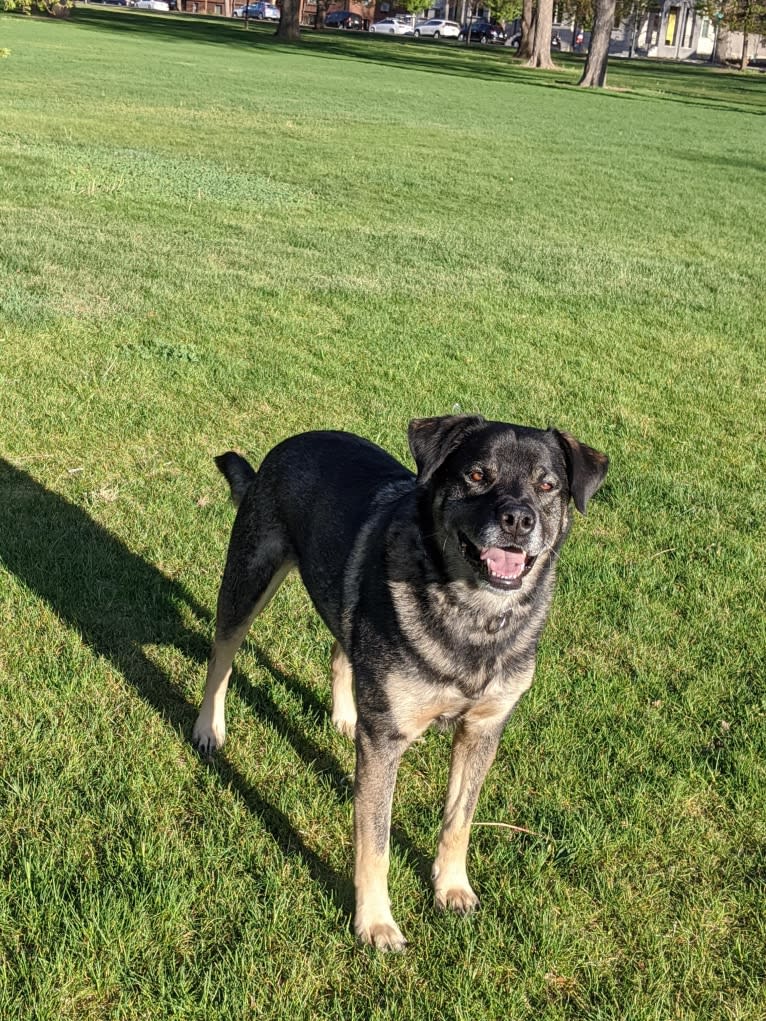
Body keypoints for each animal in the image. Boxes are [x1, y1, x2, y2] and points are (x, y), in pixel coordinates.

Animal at [193, 412, 612, 947]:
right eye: (477, 475)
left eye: (547, 485)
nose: (519, 521)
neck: (473, 614)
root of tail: (287, 446)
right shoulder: (385, 742)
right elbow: (375, 842)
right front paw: (374, 923)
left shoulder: (483, 729)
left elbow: (459, 820)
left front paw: (452, 889)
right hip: (249, 577)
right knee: (222, 656)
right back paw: (209, 728)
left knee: (340, 648)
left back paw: (345, 716)